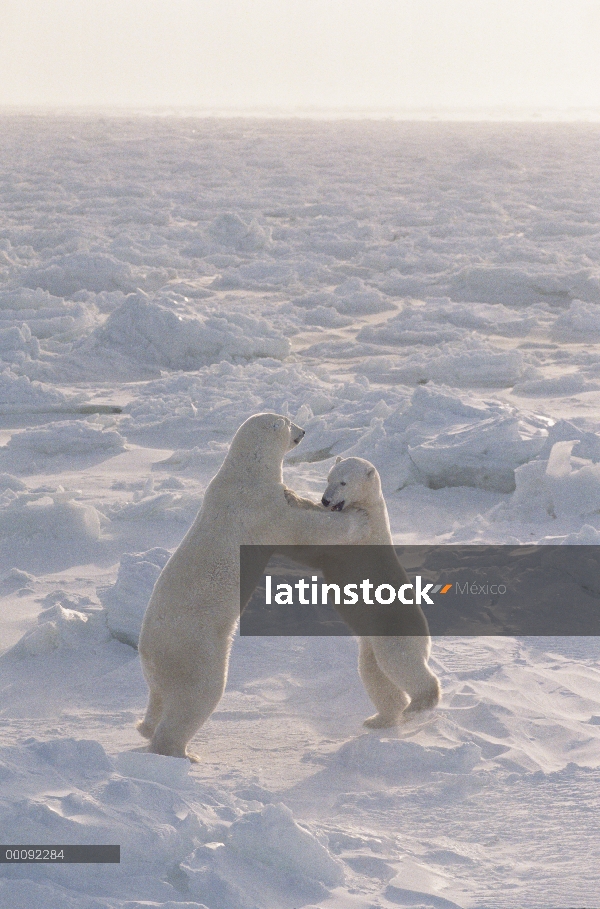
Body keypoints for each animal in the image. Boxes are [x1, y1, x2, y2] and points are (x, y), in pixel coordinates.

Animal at [138, 414, 368, 760]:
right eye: (288, 422)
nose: (304, 431)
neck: (244, 473)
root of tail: (148, 653)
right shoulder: (261, 509)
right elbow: (302, 531)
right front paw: (356, 518)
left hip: (159, 670)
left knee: (159, 698)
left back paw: (146, 728)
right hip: (194, 649)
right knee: (198, 695)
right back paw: (182, 753)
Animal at [290, 458, 440, 728]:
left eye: (343, 482)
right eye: (328, 478)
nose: (325, 500)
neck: (370, 507)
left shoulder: (359, 532)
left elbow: (316, 544)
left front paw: (290, 496)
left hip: (393, 629)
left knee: (399, 663)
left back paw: (419, 704)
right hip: (372, 639)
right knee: (374, 673)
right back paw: (379, 719)